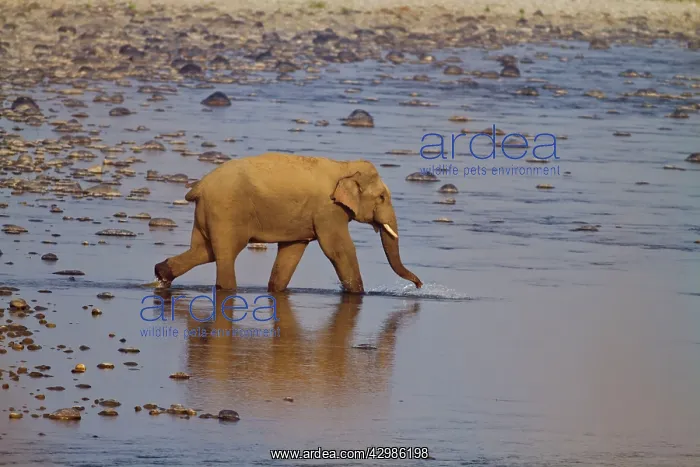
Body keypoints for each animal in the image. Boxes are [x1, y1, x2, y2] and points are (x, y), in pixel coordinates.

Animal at [154, 152, 423, 294]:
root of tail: (198, 187)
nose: (419, 285)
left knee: (203, 251)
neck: (344, 166)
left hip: (207, 212)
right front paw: (358, 294)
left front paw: (275, 290)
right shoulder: (327, 210)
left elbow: (292, 251)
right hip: (226, 211)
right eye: (382, 197)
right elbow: (338, 249)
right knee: (226, 253)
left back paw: (161, 276)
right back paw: (227, 290)